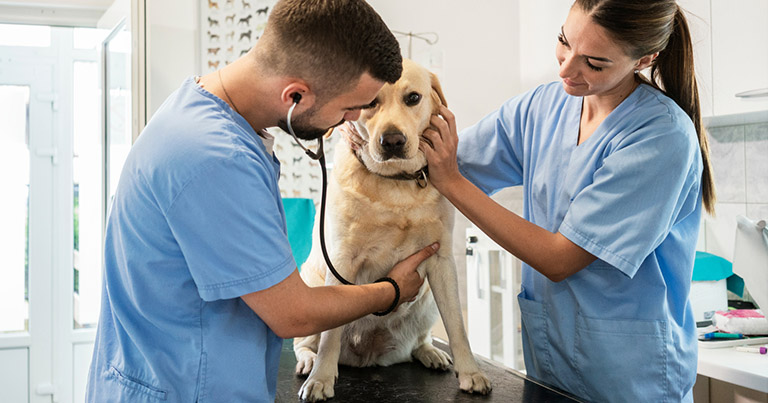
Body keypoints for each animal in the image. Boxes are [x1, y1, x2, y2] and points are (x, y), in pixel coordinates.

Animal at [294, 58, 492, 402]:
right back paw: (308, 361)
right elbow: (329, 337)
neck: (395, 183)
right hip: (312, 291)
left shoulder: (442, 261)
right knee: (306, 343)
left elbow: (457, 326)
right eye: (368, 102)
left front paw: (471, 373)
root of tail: (367, 356)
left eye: (413, 98)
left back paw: (429, 353)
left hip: (427, 300)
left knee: (420, 340)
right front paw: (321, 378)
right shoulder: (342, 261)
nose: (393, 141)